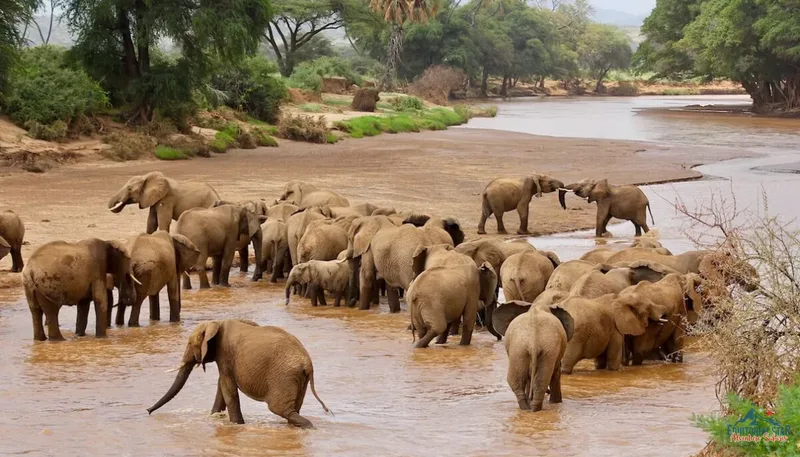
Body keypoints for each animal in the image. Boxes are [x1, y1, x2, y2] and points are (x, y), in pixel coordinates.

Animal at [147, 319, 331, 427]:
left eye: (190, 344)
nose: (147, 411)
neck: (216, 322)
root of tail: (308, 363)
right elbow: (222, 386)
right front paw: (215, 418)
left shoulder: (225, 353)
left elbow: (227, 387)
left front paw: (237, 425)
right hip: (299, 379)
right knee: (293, 410)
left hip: (284, 376)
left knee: (281, 410)